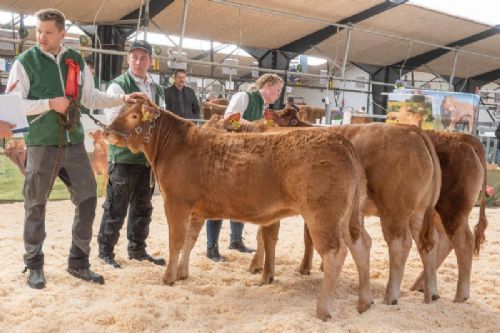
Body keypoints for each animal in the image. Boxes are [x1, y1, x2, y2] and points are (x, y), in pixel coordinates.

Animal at [104, 99, 372, 320]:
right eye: (120, 110)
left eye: (134, 116)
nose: (106, 132)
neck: (177, 147)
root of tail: (340, 140)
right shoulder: (196, 210)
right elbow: (191, 240)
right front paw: (182, 273)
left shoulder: (176, 202)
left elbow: (177, 241)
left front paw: (168, 277)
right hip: (348, 217)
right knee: (361, 244)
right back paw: (364, 301)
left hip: (322, 216)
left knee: (335, 253)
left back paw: (323, 309)